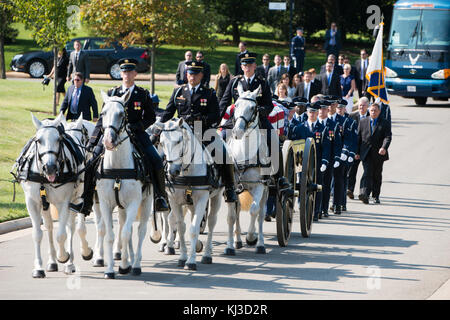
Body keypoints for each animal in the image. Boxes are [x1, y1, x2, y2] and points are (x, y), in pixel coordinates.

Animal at [14, 113, 88, 278]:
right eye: (38, 140)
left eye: (58, 139)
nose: (50, 167)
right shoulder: (33, 202)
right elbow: (37, 234)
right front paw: (38, 268)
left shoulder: (64, 202)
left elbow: (61, 235)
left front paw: (64, 256)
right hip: (45, 205)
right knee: (49, 226)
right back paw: (52, 261)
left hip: (75, 199)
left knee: (70, 227)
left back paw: (70, 262)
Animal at [96, 89, 156, 278]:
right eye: (102, 113)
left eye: (122, 114)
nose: (108, 140)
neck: (117, 169)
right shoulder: (106, 203)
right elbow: (111, 235)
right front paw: (110, 269)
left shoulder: (133, 203)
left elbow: (126, 233)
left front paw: (123, 266)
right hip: (121, 206)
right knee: (124, 227)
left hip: (146, 202)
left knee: (140, 230)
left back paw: (135, 264)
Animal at [154, 117, 232, 270]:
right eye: (162, 142)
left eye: (179, 141)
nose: (172, 171)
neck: (187, 171)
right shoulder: (174, 200)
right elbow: (181, 227)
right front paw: (183, 257)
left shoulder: (202, 199)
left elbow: (194, 228)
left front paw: (191, 261)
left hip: (216, 197)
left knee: (212, 221)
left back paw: (207, 254)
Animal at [222, 84, 268, 254]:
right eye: (236, 105)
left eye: (253, 107)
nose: (238, 131)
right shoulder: (232, 187)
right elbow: (231, 216)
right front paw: (230, 246)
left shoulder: (260, 185)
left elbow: (254, 210)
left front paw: (251, 237)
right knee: (238, 209)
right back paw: (238, 240)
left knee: (261, 212)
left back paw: (259, 241)